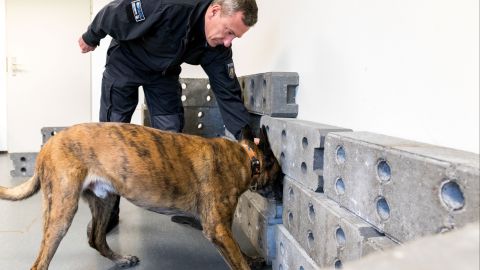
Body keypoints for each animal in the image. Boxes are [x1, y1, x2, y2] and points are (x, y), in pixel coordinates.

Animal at [0, 123, 284, 270]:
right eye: (279, 173)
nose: (282, 191)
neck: (248, 158)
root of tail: (47, 145)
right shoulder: (218, 229)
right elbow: (238, 260)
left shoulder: (222, 230)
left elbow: (240, 252)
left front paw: (252, 258)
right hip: (62, 210)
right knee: (41, 262)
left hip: (105, 200)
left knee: (96, 238)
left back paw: (121, 259)